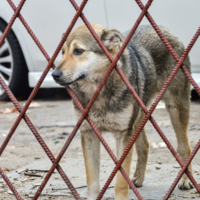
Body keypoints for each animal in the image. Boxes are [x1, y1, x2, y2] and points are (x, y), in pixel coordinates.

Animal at [52, 23, 193, 200]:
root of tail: (163, 28)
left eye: (78, 51)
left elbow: (120, 181)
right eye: (62, 52)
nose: (54, 74)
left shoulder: (123, 135)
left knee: (184, 147)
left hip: (176, 108)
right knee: (144, 145)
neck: (98, 91)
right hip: (139, 116)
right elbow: (92, 182)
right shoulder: (89, 133)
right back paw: (138, 178)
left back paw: (186, 179)